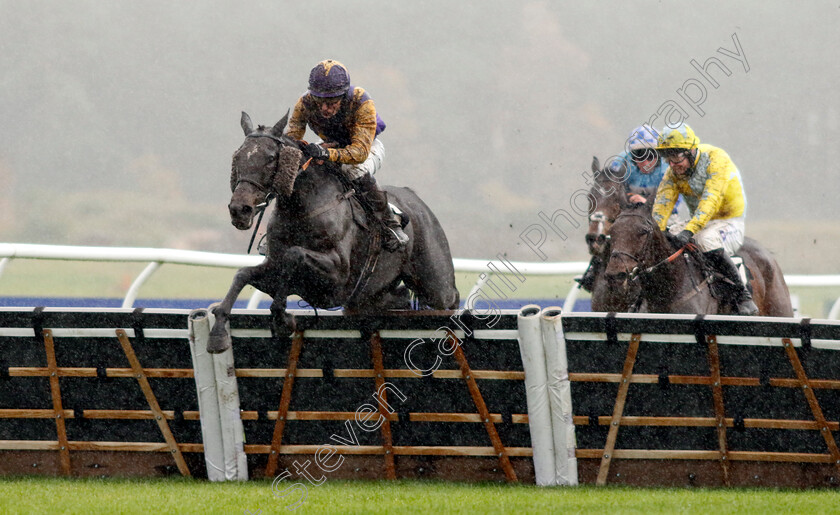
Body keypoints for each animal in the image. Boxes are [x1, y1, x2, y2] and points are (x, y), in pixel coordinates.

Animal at [208, 113, 460, 354]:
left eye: (271, 158)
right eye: (238, 156)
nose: (239, 209)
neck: (301, 209)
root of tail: (416, 199)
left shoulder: (337, 276)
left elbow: (295, 255)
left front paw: (281, 320)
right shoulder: (278, 270)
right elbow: (242, 274)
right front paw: (218, 332)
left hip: (436, 284)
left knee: (449, 299)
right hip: (369, 296)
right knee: (400, 297)